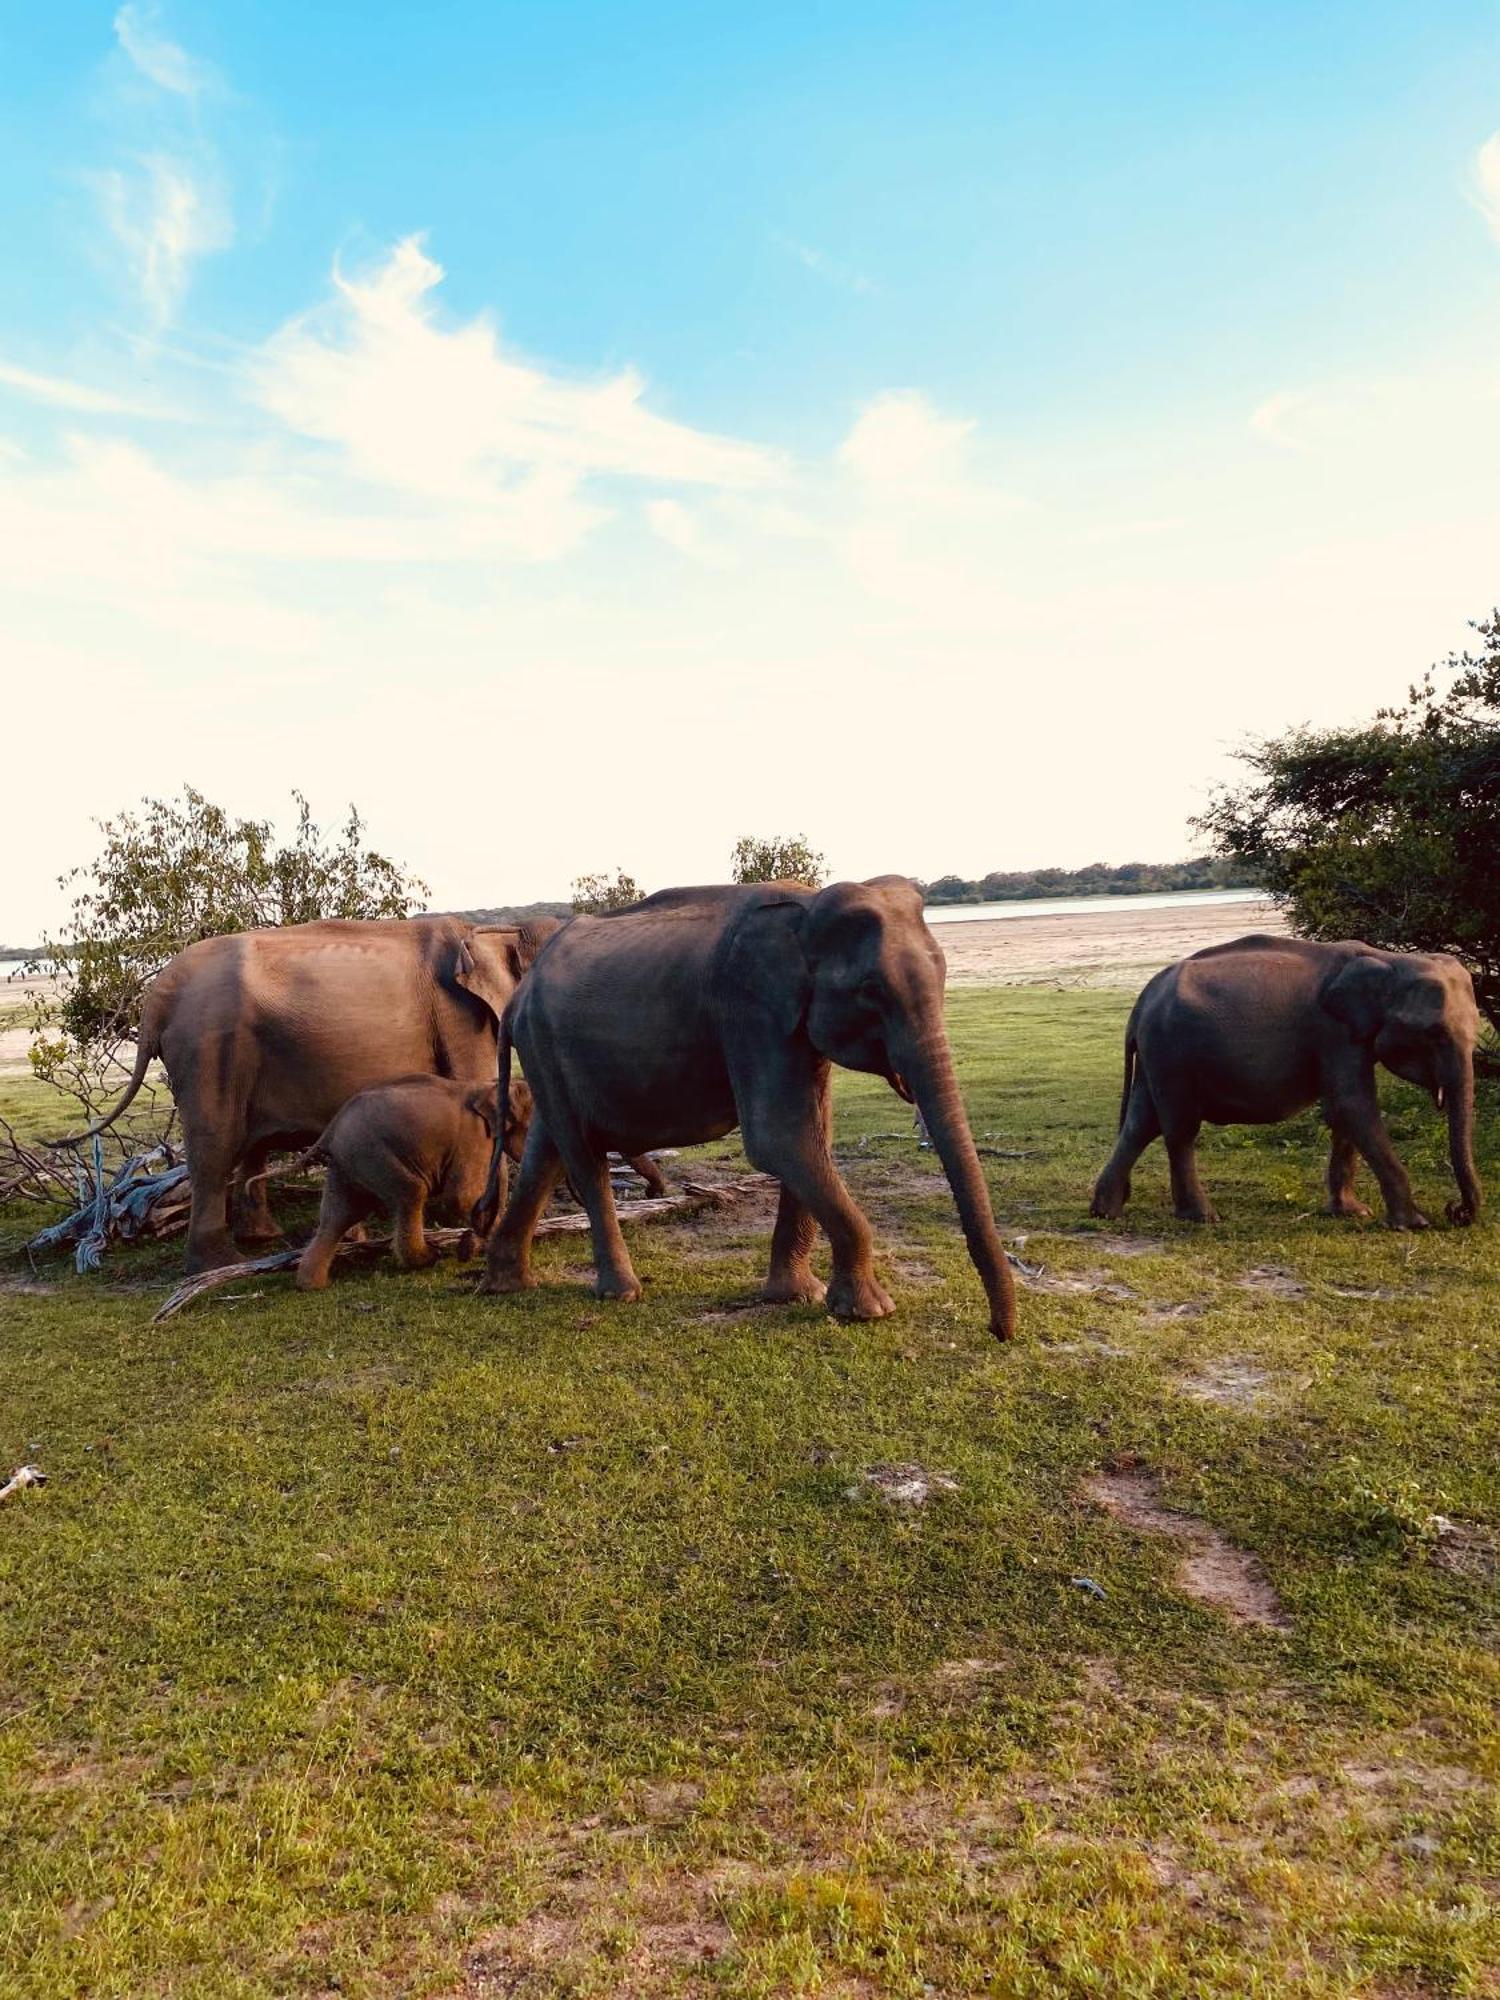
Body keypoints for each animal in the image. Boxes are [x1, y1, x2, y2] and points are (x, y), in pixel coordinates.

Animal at [294, 1072, 536, 1288]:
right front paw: (476, 1243)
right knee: (410, 1192)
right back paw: (430, 1257)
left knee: (339, 1215)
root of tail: (332, 1128)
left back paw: (311, 1285)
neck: (491, 1085)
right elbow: (461, 1197)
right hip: (372, 1153)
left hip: (347, 1163)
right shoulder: (474, 1136)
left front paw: (471, 1245)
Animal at [476, 880, 1024, 1336]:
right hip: (545, 1043)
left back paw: (505, 1284)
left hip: (545, 1054)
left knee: (546, 1154)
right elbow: (778, 1138)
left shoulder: (791, 1028)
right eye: (871, 991)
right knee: (582, 1159)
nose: (998, 1332)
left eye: (944, 974)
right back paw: (621, 1293)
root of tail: (519, 994)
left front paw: (798, 1296)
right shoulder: (749, 1009)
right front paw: (870, 1311)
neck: (807, 909)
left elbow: (811, 1138)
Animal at [1096, 928, 1496, 1224]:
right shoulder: (1334, 1033)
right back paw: (1202, 1217)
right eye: (1434, 1033)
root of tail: (1142, 1000)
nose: (1456, 1212)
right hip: (1171, 1052)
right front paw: (1414, 1223)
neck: (1388, 960)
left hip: (1158, 1056)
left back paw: (1105, 1213)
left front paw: (1353, 1213)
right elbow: (1354, 1106)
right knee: (1179, 1130)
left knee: (1141, 1124)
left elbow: (1343, 1114)